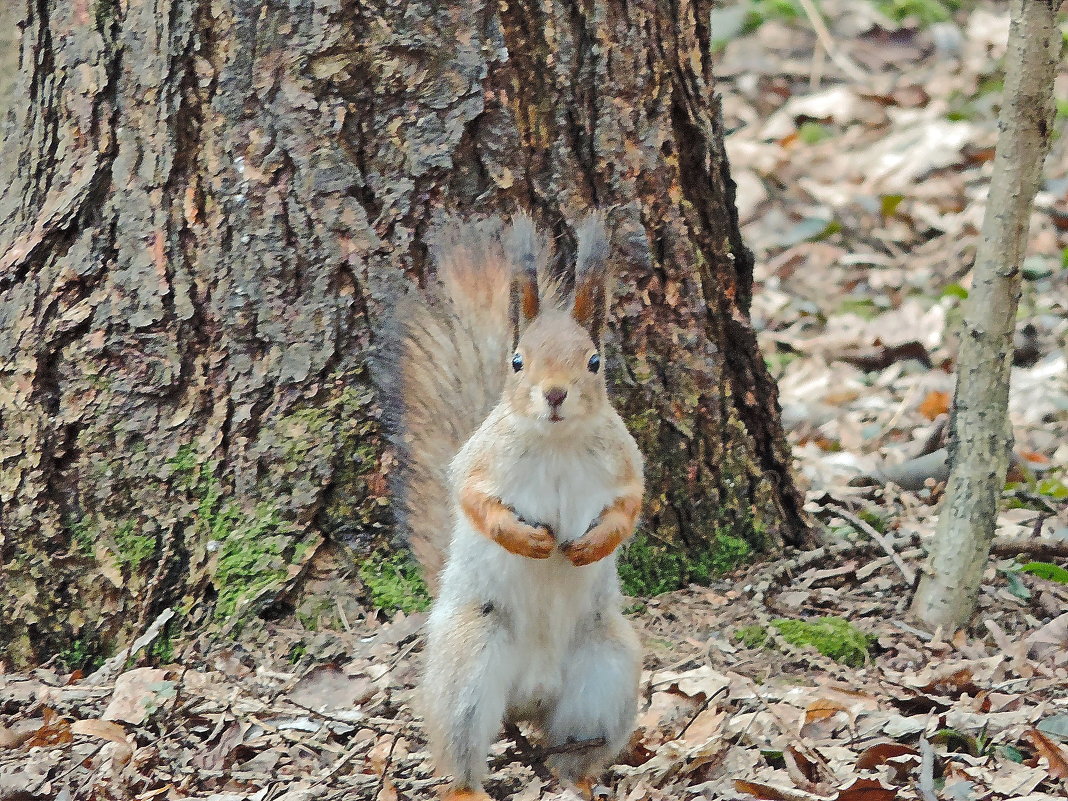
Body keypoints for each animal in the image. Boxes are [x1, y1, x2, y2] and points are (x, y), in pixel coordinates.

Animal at [388, 210, 645, 798]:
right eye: (517, 361)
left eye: (594, 361)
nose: (554, 394)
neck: (556, 443)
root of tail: (529, 696)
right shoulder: (478, 463)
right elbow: (472, 501)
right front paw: (529, 541)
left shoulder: (626, 466)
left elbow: (629, 508)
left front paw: (589, 547)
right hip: (469, 665)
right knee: (461, 744)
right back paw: (469, 787)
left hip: (606, 669)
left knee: (575, 751)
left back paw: (580, 782)